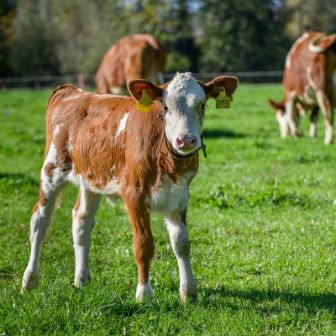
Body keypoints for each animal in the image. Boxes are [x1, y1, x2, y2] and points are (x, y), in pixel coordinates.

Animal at [21, 71, 239, 302]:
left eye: (202, 104)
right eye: (165, 107)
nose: (186, 140)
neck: (166, 159)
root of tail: (72, 91)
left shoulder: (179, 195)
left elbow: (182, 244)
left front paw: (188, 292)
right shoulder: (134, 194)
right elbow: (144, 245)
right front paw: (144, 293)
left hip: (92, 179)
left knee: (81, 221)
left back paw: (81, 279)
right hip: (52, 170)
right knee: (40, 222)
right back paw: (30, 280)